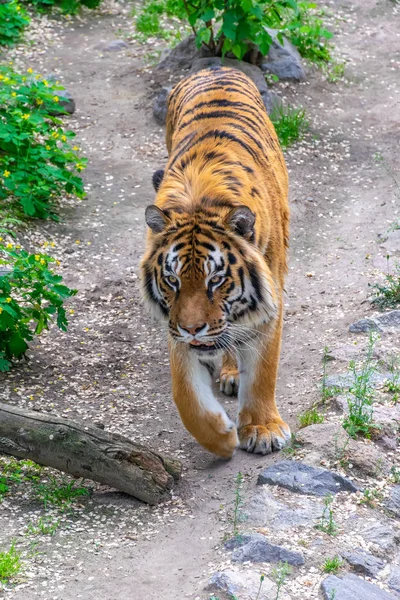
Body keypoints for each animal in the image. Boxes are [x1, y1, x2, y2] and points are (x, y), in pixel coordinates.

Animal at [141, 65, 290, 458]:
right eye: (173, 281)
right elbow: (184, 392)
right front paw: (221, 438)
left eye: (216, 280)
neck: (200, 202)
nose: (194, 329)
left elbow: (264, 369)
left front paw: (263, 429)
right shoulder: (175, 321)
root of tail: (216, 66)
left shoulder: (270, 301)